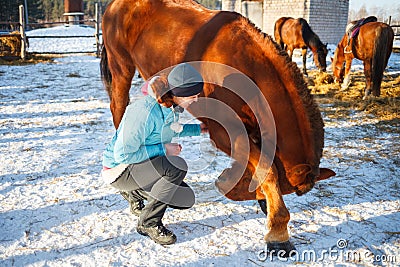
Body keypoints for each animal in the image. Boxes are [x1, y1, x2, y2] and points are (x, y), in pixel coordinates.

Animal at [100, 0, 334, 255]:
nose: (225, 185)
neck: (245, 69)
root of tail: (113, 6)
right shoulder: (224, 132)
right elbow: (267, 169)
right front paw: (278, 232)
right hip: (121, 67)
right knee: (119, 111)